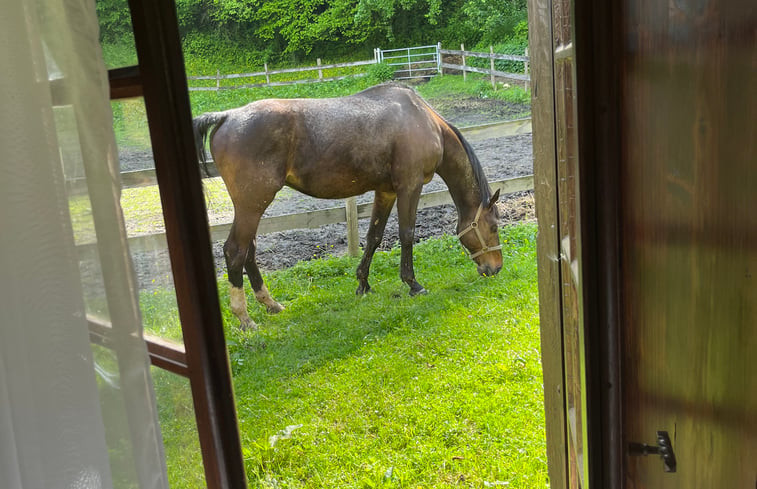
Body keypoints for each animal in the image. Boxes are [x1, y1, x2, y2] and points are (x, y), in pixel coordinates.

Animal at [193, 83, 502, 332]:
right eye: (494, 226)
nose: (495, 267)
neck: (424, 120)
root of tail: (227, 116)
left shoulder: (386, 191)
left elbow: (374, 237)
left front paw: (363, 284)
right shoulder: (409, 187)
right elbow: (406, 234)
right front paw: (412, 283)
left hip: (253, 206)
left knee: (249, 252)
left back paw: (271, 304)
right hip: (252, 205)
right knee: (235, 251)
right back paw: (244, 318)